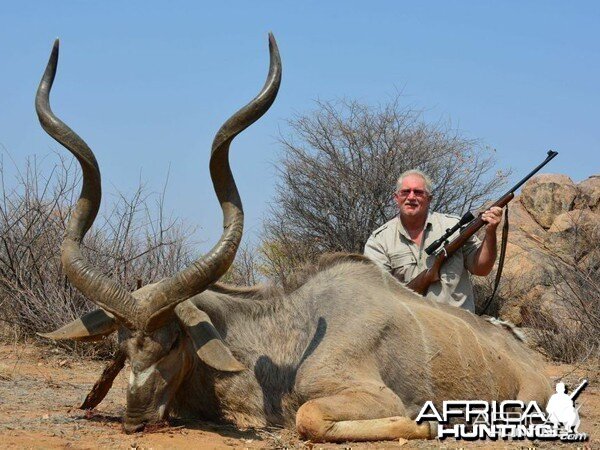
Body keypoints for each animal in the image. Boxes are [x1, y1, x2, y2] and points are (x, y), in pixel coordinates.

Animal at [38, 36, 552, 442]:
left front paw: (429, 424)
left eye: (172, 343)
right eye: (123, 347)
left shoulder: (368, 393)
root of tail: (527, 357)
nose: (136, 419)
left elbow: (309, 417)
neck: (285, 334)